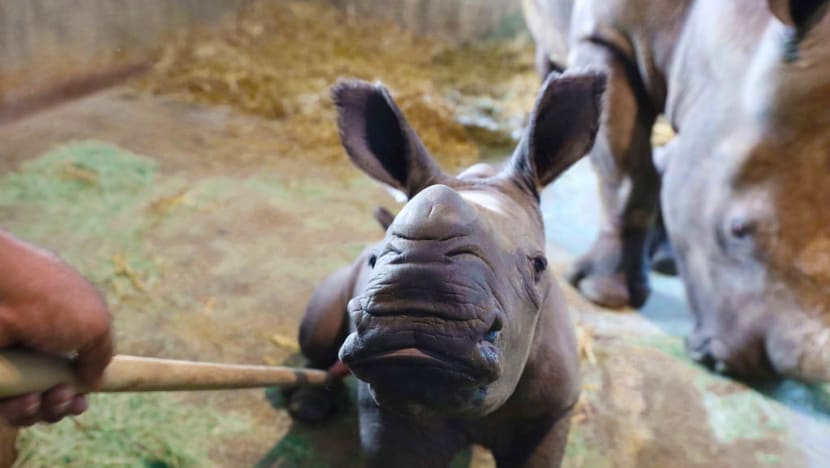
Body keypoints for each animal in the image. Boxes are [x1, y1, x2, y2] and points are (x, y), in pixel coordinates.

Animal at [524, 0, 830, 382]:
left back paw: (666, 260)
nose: (759, 370)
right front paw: (604, 295)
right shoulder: (608, 39)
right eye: (738, 230)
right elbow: (627, 176)